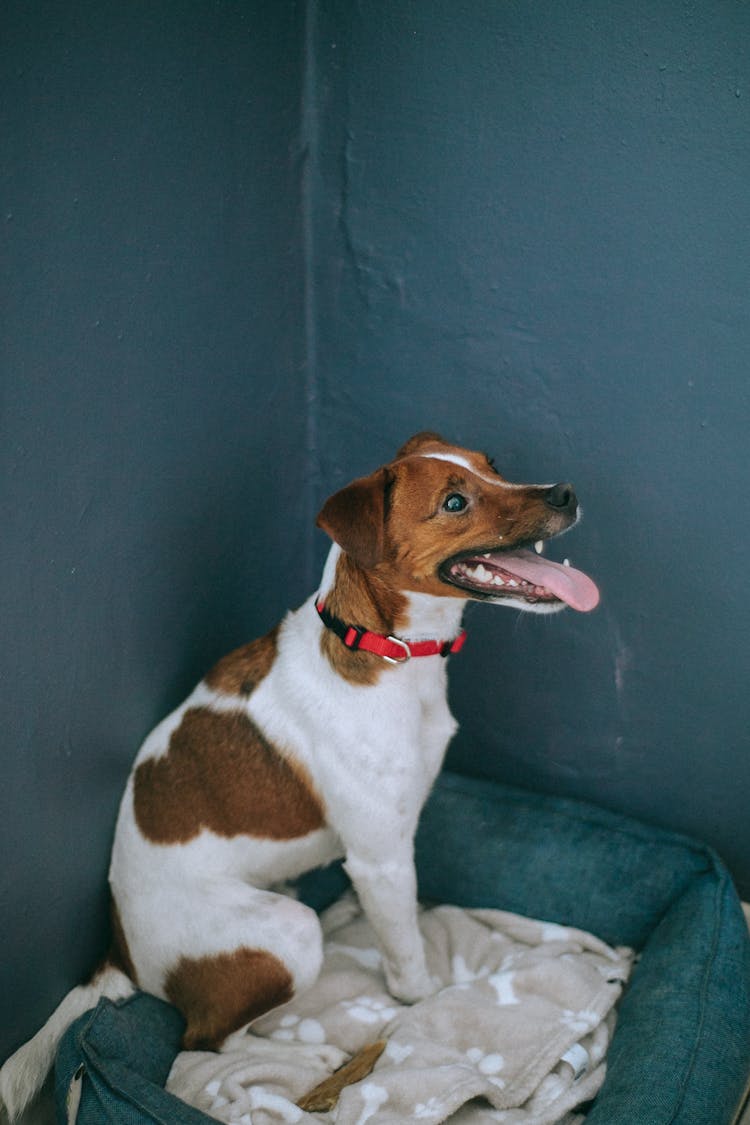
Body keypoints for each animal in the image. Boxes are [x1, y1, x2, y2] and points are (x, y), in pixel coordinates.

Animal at [0, 429, 598, 1116]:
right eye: (454, 502)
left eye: (492, 467)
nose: (565, 492)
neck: (386, 650)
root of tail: (117, 952)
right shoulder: (382, 860)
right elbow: (407, 954)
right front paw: (423, 1001)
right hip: (287, 933)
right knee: (209, 1042)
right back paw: (308, 1057)